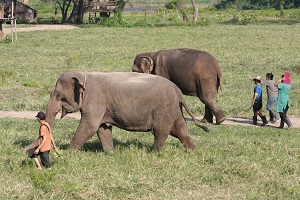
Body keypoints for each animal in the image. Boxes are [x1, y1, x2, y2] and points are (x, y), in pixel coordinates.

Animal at [45, 70, 209, 152]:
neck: (84, 74)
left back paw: (153, 153)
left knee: (161, 132)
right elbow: (103, 128)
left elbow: (90, 126)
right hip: (174, 110)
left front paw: (69, 153)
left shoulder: (95, 100)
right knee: (180, 131)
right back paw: (193, 151)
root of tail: (178, 91)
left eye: (59, 96)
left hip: (164, 109)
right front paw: (110, 153)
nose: (55, 150)